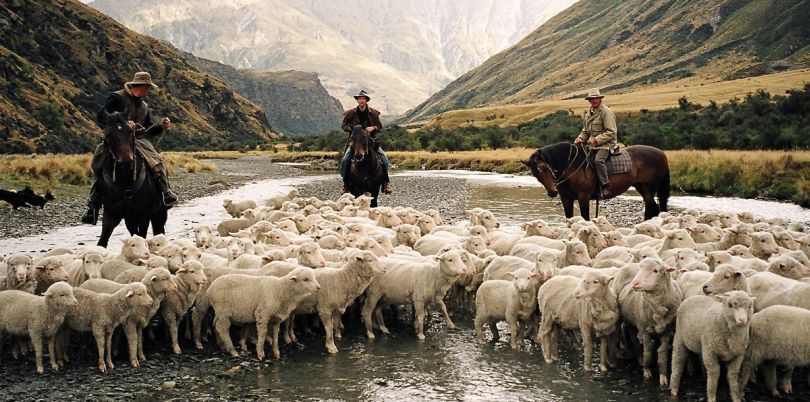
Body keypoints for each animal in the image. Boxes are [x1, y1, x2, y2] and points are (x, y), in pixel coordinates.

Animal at [524, 141, 668, 221]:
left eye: (544, 168)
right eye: (535, 174)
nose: (552, 192)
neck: (572, 165)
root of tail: (661, 153)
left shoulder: (583, 198)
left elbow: (585, 218)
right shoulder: (566, 199)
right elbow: (569, 218)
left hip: (649, 188)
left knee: (651, 209)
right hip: (641, 187)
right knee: (654, 208)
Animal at [616, 258, 680, 386]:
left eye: (655, 270)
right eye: (640, 268)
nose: (635, 284)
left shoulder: (668, 331)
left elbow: (662, 353)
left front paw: (663, 377)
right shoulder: (644, 329)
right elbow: (648, 350)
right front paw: (646, 371)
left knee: (633, 336)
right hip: (632, 320)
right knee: (632, 337)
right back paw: (639, 359)